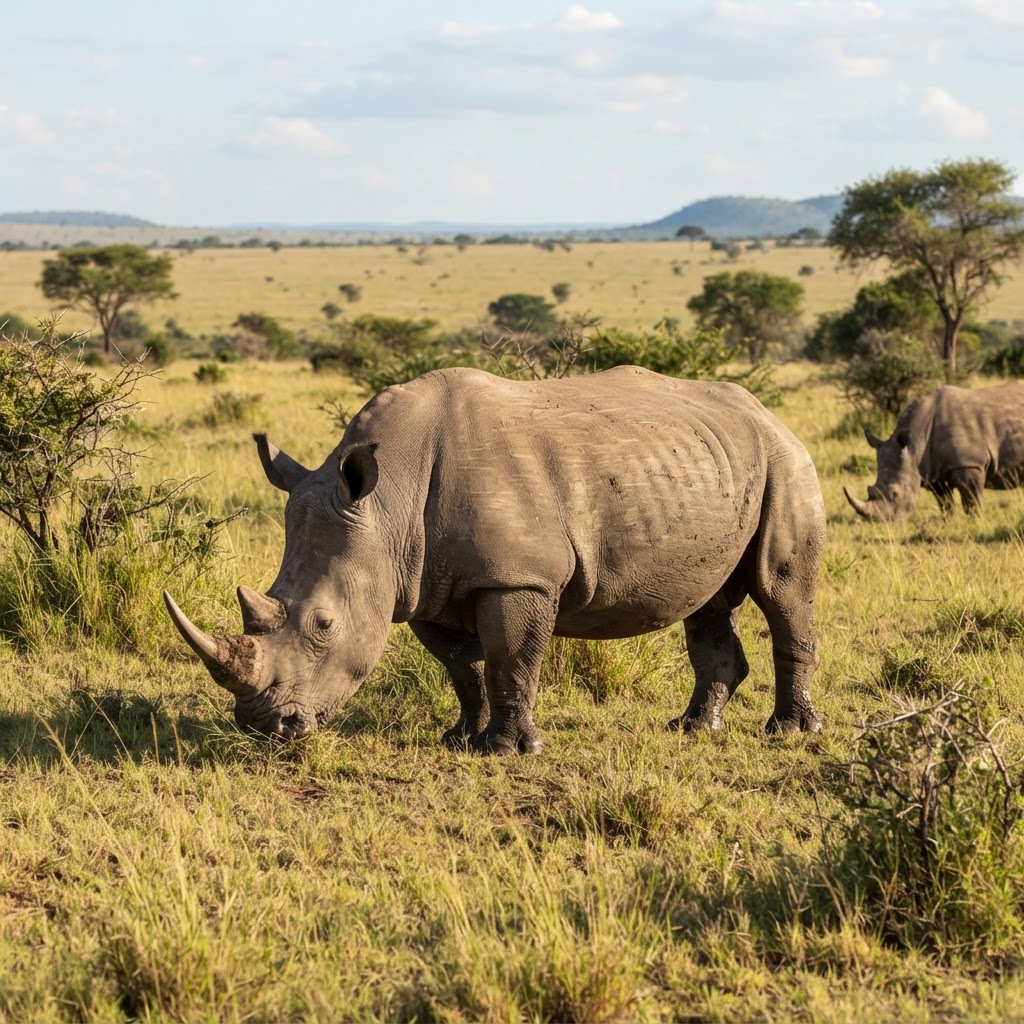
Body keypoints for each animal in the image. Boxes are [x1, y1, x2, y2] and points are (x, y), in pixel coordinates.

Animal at [164, 366, 826, 754]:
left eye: (324, 625)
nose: (263, 727)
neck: (386, 504)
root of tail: (766, 411)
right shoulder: (421, 583)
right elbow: (464, 667)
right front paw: (460, 736)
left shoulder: (518, 578)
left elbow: (511, 659)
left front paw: (508, 750)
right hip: (717, 464)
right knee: (709, 603)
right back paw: (692, 729)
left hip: (787, 461)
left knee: (781, 591)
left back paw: (790, 732)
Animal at [845, 381, 1024, 522]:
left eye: (895, 494)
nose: (880, 523)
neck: (914, 446)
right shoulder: (934, 471)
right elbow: (945, 502)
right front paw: (948, 521)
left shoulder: (970, 464)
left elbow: (971, 500)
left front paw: (975, 521)